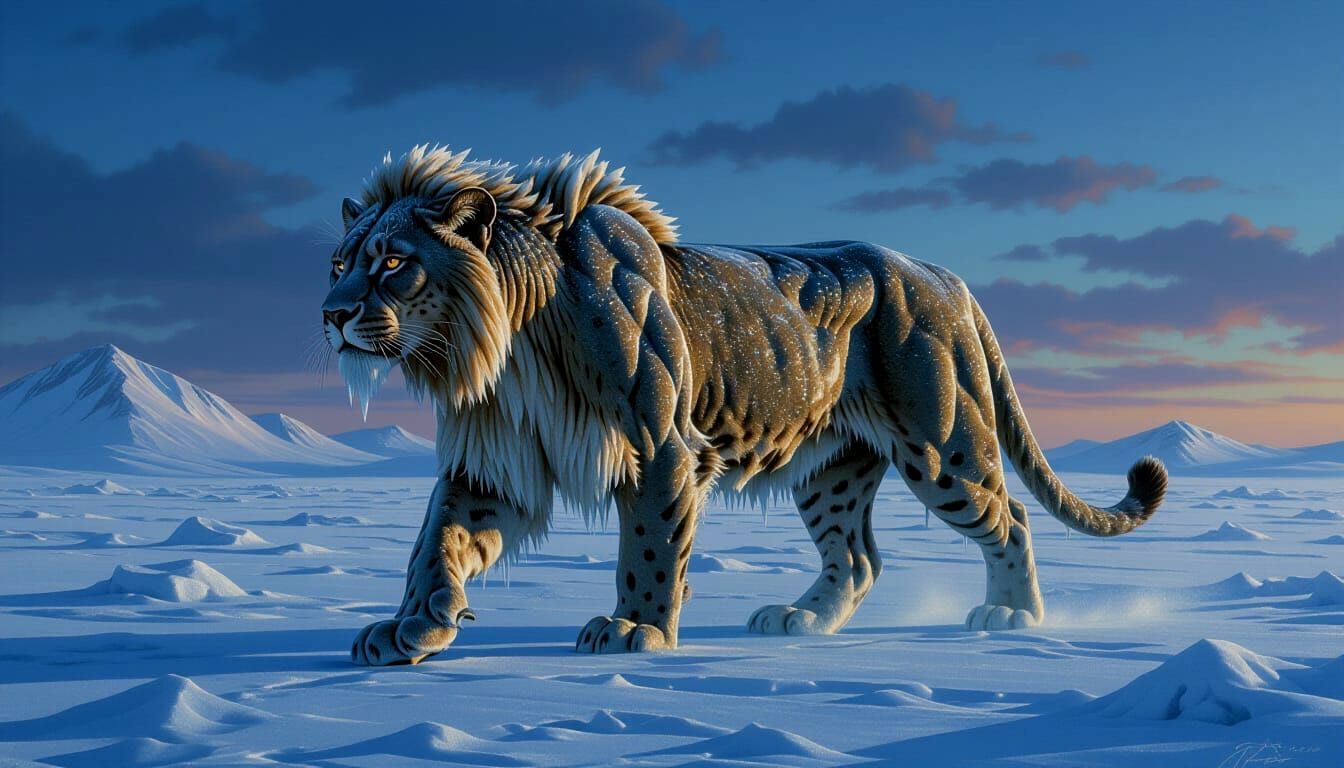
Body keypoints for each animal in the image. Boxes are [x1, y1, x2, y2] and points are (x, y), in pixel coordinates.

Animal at [321, 146, 1167, 665]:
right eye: (338, 263)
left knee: (1010, 517)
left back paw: (1013, 618)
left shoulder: (660, 445)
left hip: (942, 444)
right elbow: (436, 544)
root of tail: (946, 275)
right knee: (858, 557)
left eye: (393, 264)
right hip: (833, 470)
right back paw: (800, 620)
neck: (500, 348)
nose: (330, 315)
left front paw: (636, 630)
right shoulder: (495, 463)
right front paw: (412, 628)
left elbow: (649, 550)